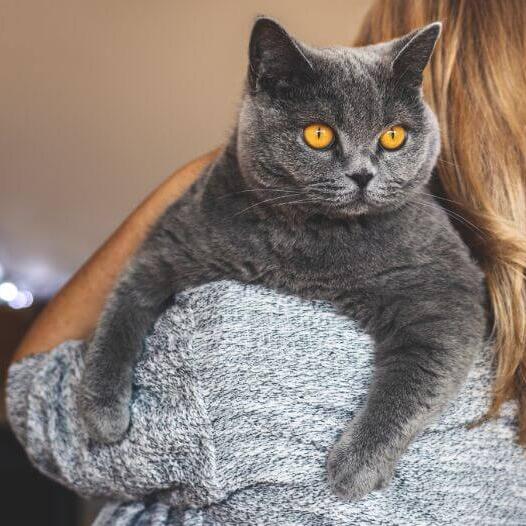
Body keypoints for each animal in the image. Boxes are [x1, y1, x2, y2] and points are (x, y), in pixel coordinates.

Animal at [78, 18, 486, 502]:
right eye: (318, 134)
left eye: (393, 136)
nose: (363, 174)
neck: (307, 247)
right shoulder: (173, 243)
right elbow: (120, 314)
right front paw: (102, 413)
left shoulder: (446, 291)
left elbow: (417, 378)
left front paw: (355, 466)